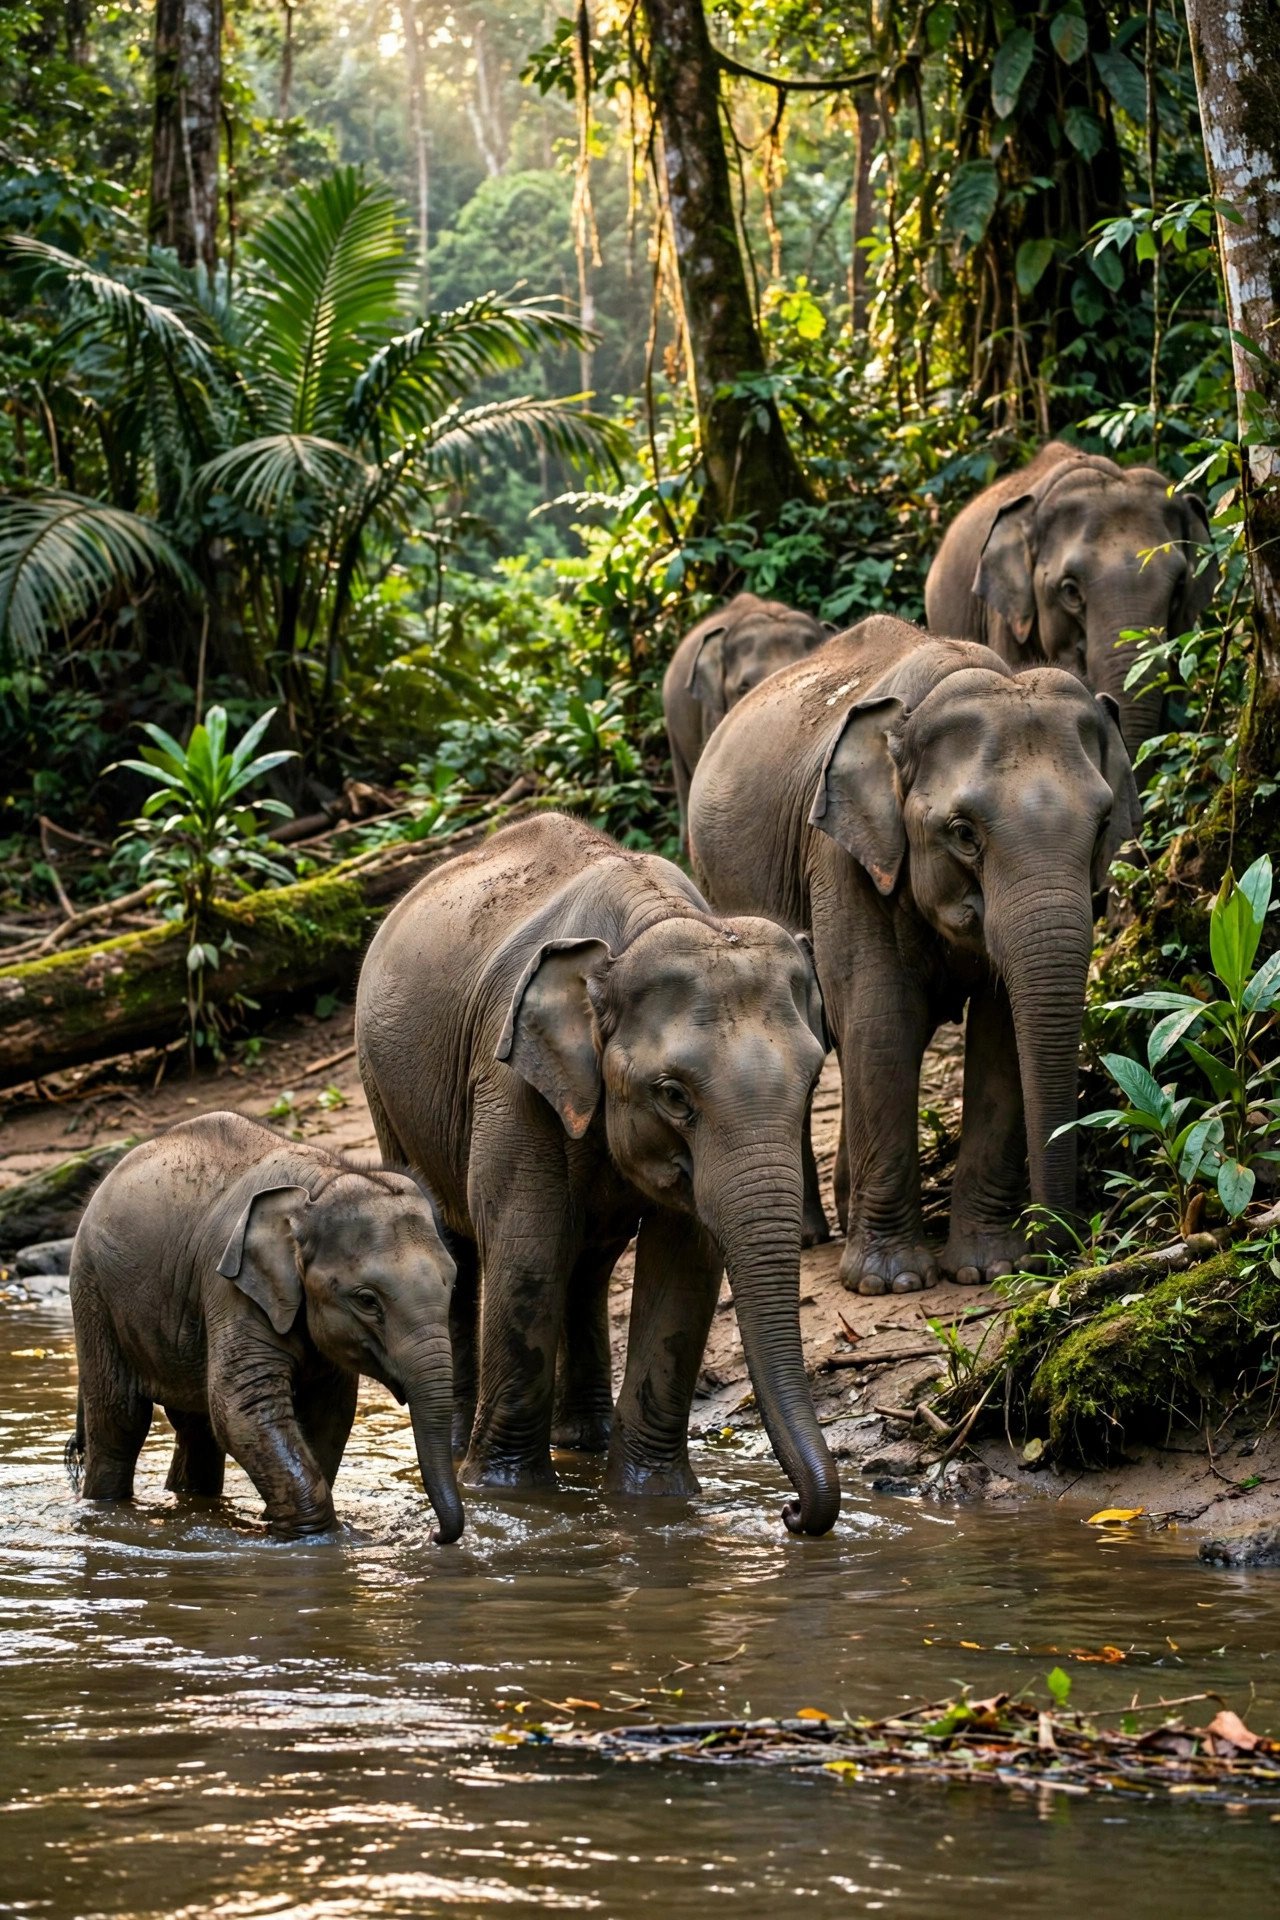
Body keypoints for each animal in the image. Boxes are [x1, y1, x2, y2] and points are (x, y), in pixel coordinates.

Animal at [66, 1113, 464, 1542]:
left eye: (452, 1285)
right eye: (367, 1300)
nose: (434, 1535)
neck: (320, 1186)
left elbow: (330, 1412)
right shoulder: (230, 1283)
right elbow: (242, 1405)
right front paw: (317, 1540)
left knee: (195, 1428)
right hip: (93, 1291)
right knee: (119, 1419)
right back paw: (105, 1508)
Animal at [355, 809, 840, 1536]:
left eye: (812, 1081)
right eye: (674, 1095)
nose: (789, 1512)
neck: (645, 924)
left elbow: (684, 1268)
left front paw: (654, 1502)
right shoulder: (509, 1080)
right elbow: (526, 1254)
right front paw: (509, 1497)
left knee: (585, 1262)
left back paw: (582, 1441)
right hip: (383, 1091)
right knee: (460, 1248)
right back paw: (458, 1447)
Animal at [688, 616, 1140, 1295]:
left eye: (1104, 823)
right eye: (963, 833)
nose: (1058, 1253)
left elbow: (1001, 1032)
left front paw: (987, 1267)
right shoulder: (841, 858)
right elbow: (881, 1022)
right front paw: (890, 1282)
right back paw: (810, 1236)